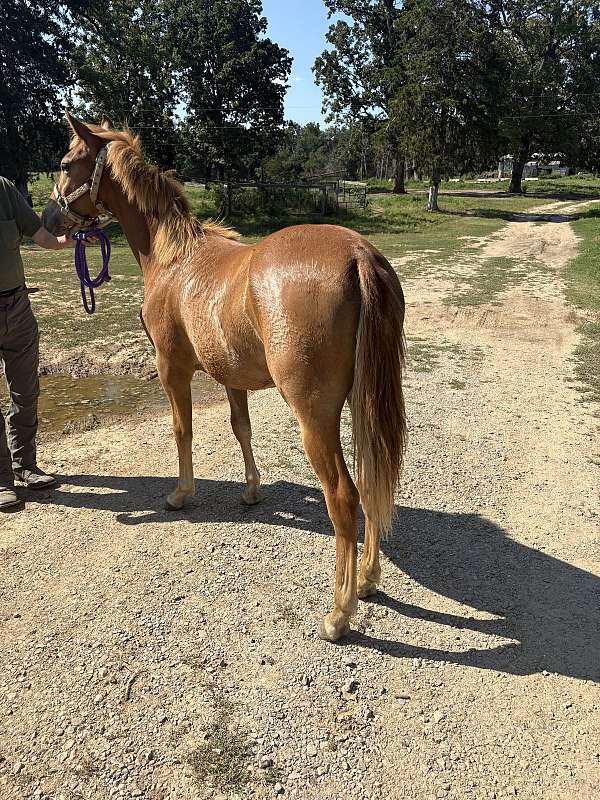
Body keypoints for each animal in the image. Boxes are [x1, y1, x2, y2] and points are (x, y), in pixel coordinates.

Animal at [42, 112, 408, 642]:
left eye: (67, 163)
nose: (48, 220)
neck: (173, 259)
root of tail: (358, 253)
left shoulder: (171, 369)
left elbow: (182, 430)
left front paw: (181, 493)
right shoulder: (230, 374)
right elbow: (241, 429)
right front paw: (252, 490)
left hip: (314, 417)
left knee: (344, 496)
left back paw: (339, 612)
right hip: (363, 404)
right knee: (372, 473)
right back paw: (367, 578)